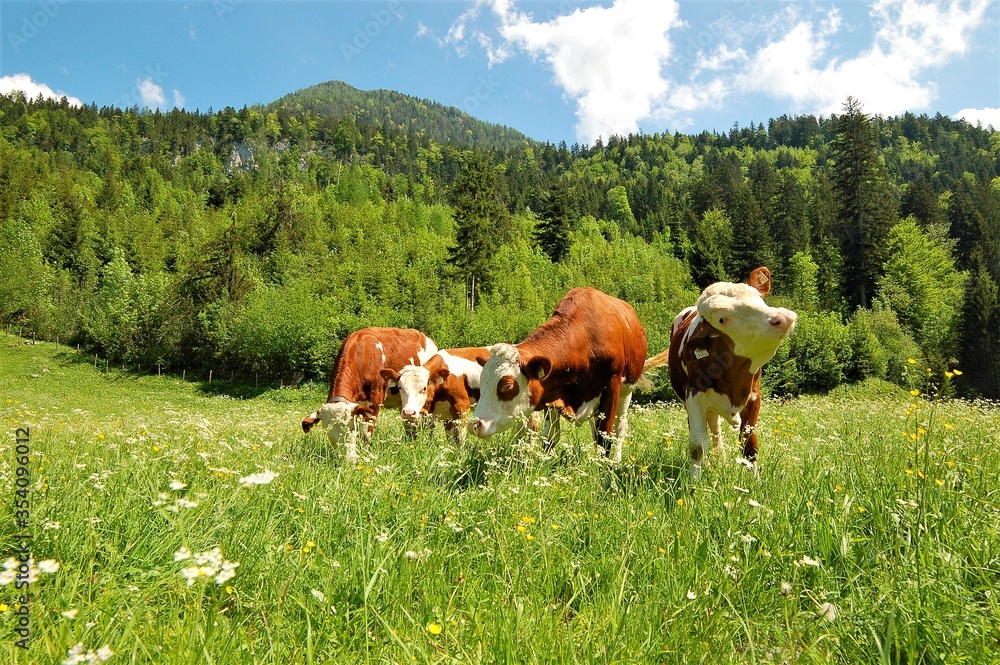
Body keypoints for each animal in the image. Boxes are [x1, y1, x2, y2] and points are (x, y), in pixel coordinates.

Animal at [298, 326, 436, 462]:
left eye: (351, 429)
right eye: (328, 432)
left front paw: (367, 453)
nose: (348, 461)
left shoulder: (375, 400)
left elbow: (366, 433)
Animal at [468, 286, 648, 462]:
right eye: (482, 382)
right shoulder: (553, 393)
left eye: (507, 385)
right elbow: (550, 437)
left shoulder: (612, 386)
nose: (474, 425)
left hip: (626, 393)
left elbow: (605, 437)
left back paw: (616, 460)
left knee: (619, 428)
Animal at [648, 268, 796, 480]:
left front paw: (755, 479)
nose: (783, 317)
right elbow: (698, 445)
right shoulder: (694, 398)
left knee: (716, 428)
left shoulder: (754, 396)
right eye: (722, 319)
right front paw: (694, 480)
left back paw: (720, 459)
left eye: (760, 299)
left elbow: (749, 441)